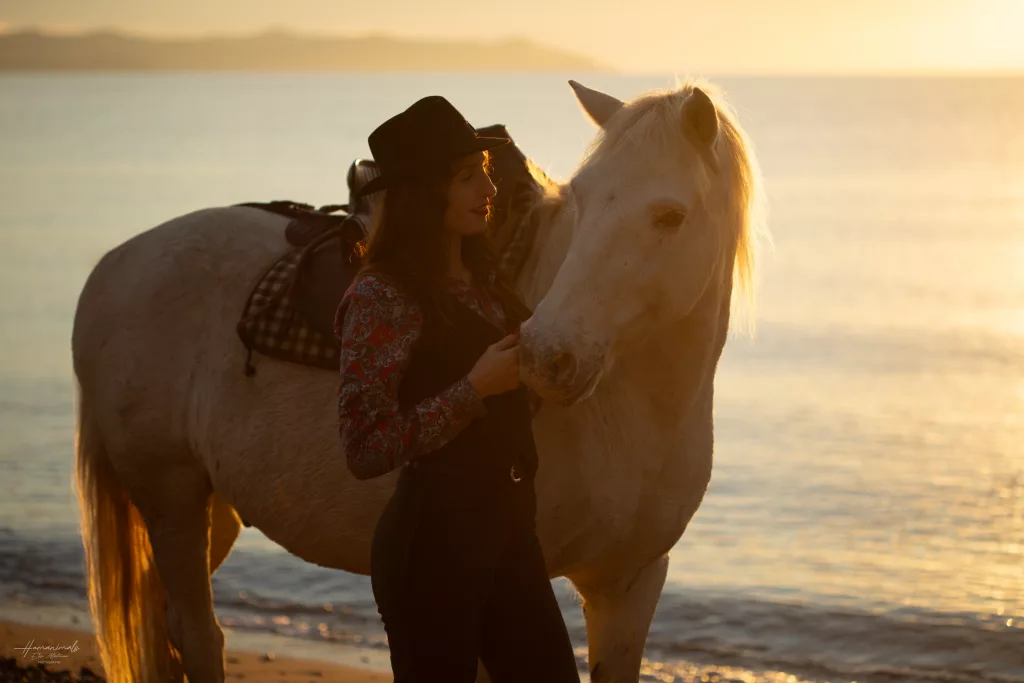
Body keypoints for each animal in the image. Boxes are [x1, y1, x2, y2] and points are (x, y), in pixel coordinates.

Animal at [72, 77, 765, 683]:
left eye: (670, 216)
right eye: (583, 202)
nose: (547, 355)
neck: (629, 414)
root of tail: (115, 262)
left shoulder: (630, 586)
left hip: (211, 508)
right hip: (170, 497)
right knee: (196, 633)